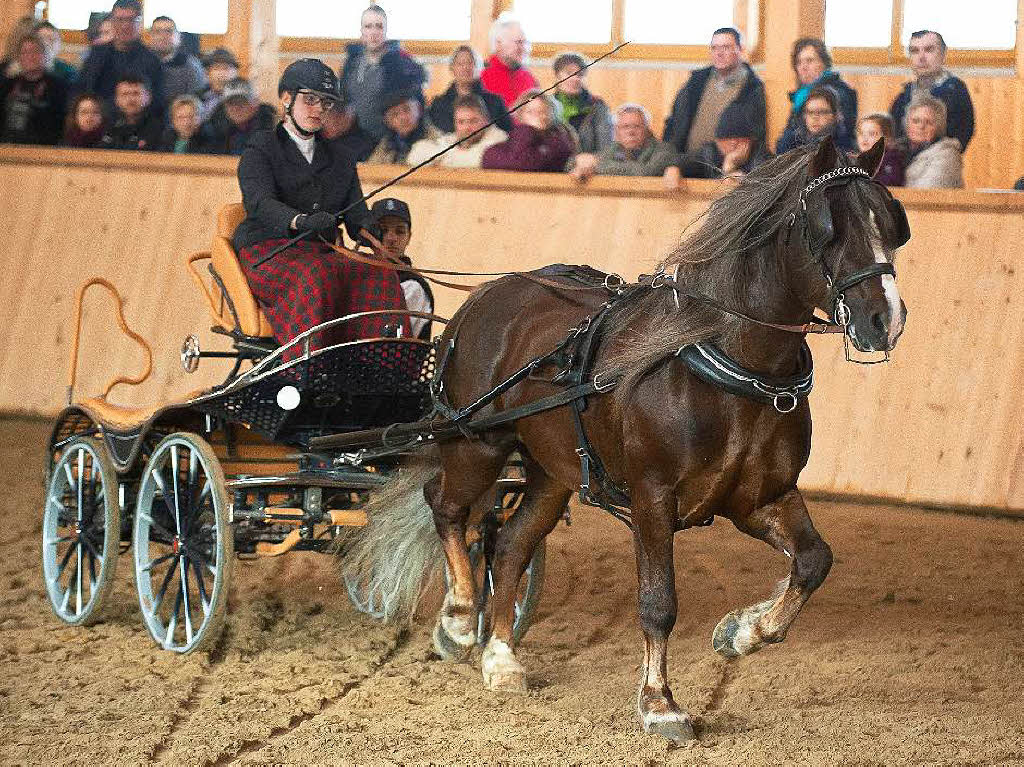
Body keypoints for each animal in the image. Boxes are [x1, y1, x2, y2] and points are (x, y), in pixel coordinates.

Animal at [342, 139, 905, 741]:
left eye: (894, 223)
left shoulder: (762, 497)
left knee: (511, 542)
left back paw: (501, 658)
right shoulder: (653, 497)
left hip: (551, 470)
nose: (886, 319)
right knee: (445, 507)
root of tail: (487, 294)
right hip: (478, 443)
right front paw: (660, 703)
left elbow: (814, 561)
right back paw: (458, 620)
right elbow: (659, 602)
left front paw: (741, 631)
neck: (726, 364)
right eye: (829, 226)